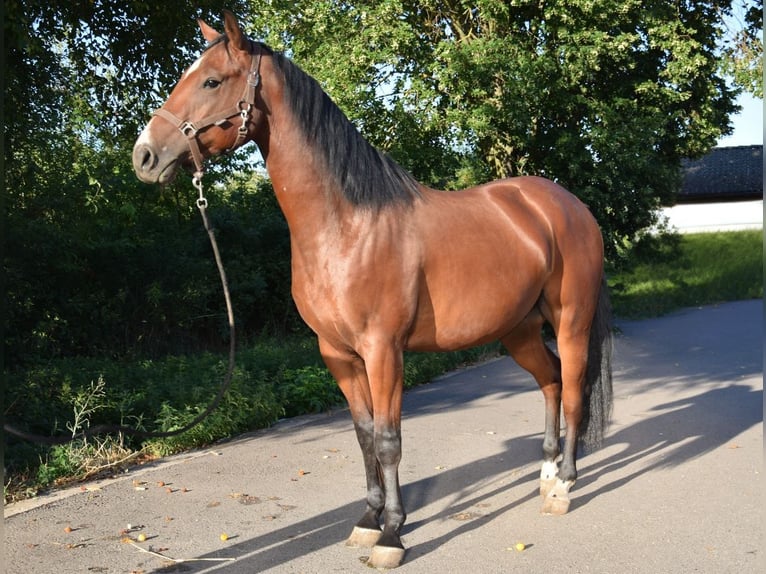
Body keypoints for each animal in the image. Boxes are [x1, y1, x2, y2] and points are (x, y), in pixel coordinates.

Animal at [132, 11, 613, 569]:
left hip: (571, 320)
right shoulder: (338, 354)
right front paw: (367, 519)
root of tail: (569, 205)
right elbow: (363, 437)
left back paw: (564, 486)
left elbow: (388, 440)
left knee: (574, 387)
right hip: (518, 330)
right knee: (551, 381)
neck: (346, 228)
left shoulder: (384, 351)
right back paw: (546, 472)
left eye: (211, 81)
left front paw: (392, 535)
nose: (145, 156)